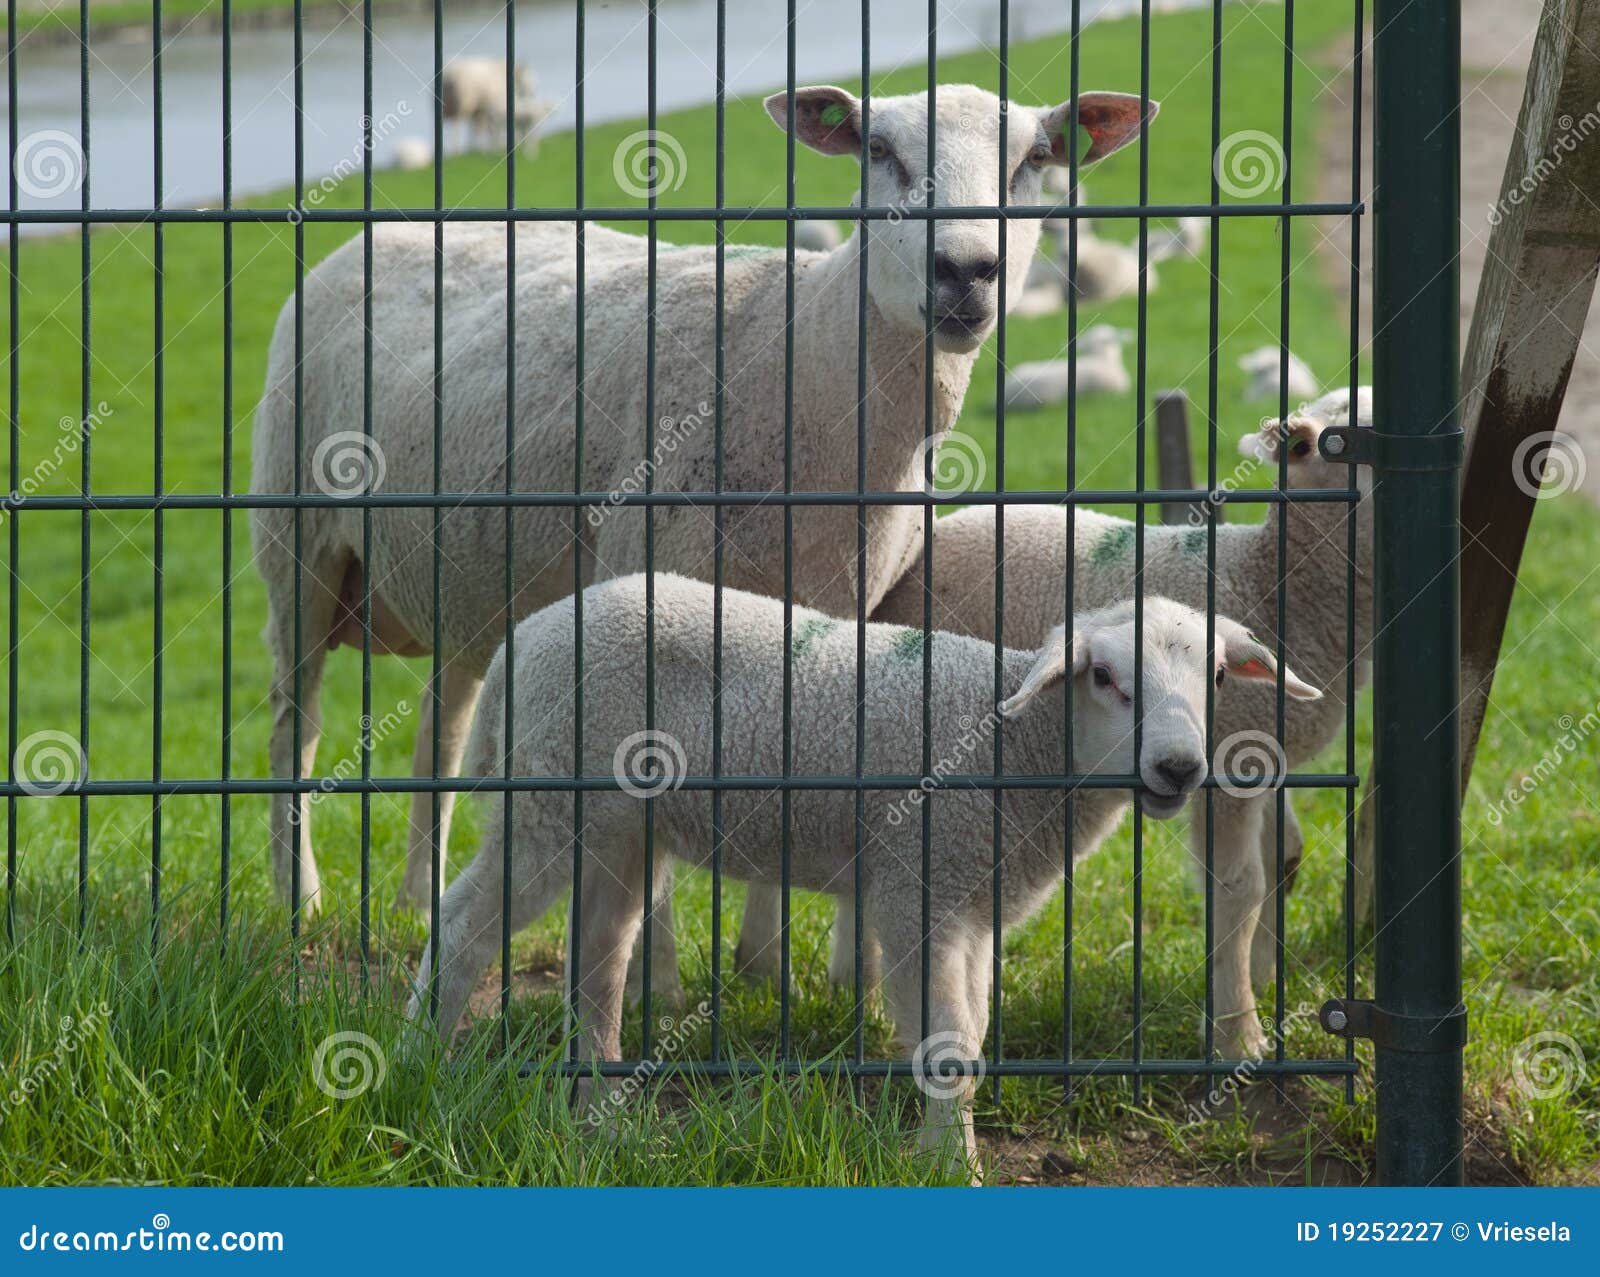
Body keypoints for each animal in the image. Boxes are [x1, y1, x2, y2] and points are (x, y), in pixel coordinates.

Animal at [404, 573, 1317, 1179]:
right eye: (1103, 677)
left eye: (1218, 676)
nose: (1179, 767)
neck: (1016, 750)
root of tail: (527, 638)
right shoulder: (921, 881)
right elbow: (950, 1045)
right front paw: (951, 1166)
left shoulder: (969, 899)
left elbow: (969, 1032)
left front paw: (943, 1147)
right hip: (548, 797)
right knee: (463, 923)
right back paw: (421, 1058)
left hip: (621, 828)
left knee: (598, 959)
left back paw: (603, 1114)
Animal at [860, 386, 1373, 1057]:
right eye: (1340, 446)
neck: (1275, 581)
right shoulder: (1226, 768)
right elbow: (1238, 887)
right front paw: (1238, 1032)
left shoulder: (1261, 751)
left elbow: (1285, 860)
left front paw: (1265, 976)